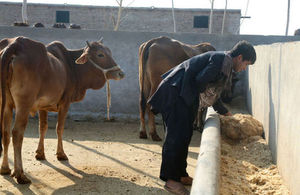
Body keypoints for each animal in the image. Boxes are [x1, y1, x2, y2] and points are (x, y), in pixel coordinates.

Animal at [0, 36, 125, 184]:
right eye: (100, 54)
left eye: (109, 52)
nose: (121, 73)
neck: (70, 66)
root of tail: (15, 44)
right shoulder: (65, 103)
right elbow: (59, 128)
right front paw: (61, 154)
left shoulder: (42, 106)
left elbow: (43, 127)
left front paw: (40, 153)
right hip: (23, 105)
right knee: (17, 134)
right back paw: (20, 174)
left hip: (6, 104)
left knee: (6, 133)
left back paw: (5, 168)